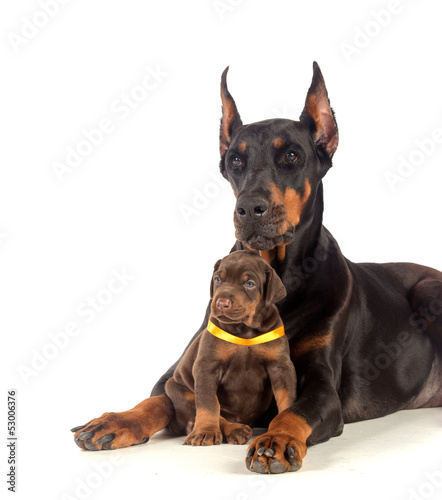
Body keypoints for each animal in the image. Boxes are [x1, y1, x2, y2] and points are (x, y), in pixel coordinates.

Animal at [166, 249, 296, 446]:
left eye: (249, 284)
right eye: (218, 279)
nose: (221, 303)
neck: (245, 330)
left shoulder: (280, 367)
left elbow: (286, 399)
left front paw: (284, 426)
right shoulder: (207, 367)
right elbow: (208, 404)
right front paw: (205, 431)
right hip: (176, 389)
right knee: (209, 411)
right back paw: (228, 429)